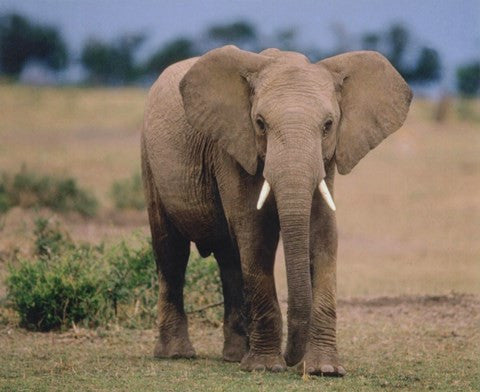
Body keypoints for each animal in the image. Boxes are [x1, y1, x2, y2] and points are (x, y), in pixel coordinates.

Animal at [140, 44, 412, 376]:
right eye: (260, 123)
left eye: (328, 126)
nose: (292, 358)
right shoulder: (232, 147)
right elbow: (254, 232)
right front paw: (266, 367)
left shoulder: (327, 159)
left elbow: (323, 233)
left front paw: (324, 370)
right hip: (149, 159)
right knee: (172, 253)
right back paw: (177, 354)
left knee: (229, 259)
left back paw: (235, 355)